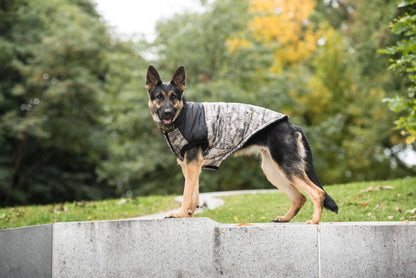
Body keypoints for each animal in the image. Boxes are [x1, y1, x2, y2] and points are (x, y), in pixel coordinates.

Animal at [146, 65, 338, 224]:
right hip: (273, 171)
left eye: (173, 97)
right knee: (300, 197)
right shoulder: (189, 166)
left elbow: (187, 194)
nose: (167, 112)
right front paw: (188, 215)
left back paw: (314, 222)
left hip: (286, 168)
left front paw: (180, 214)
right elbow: (194, 195)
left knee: (318, 193)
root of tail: (291, 125)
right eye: (159, 97)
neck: (182, 116)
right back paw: (285, 218)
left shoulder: (192, 164)